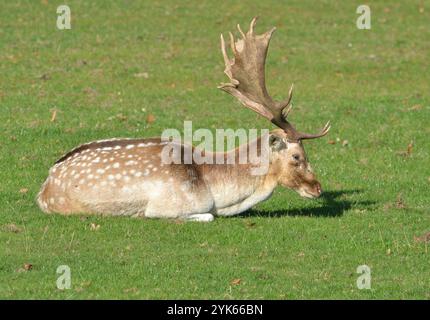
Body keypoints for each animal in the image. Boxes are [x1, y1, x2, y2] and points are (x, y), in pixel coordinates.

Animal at [38, 18, 330, 222]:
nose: (317, 188)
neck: (217, 192)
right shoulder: (166, 205)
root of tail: (44, 189)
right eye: (297, 156)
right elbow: (207, 216)